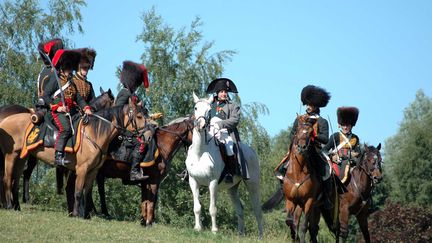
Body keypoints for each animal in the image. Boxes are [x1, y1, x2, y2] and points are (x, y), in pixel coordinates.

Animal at [0, 98, 145, 217]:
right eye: (139, 116)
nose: (146, 136)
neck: (94, 133)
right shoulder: (82, 169)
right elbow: (78, 192)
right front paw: (76, 214)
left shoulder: (93, 171)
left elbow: (87, 193)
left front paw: (86, 215)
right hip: (11, 155)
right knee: (7, 178)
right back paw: (9, 205)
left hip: (21, 157)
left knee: (16, 180)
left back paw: (17, 207)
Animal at [184, 92, 262, 237]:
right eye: (196, 108)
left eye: (209, 110)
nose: (200, 125)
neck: (200, 152)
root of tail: (251, 150)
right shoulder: (193, 181)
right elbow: (197, 207)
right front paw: (198, 228)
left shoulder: (213, 183)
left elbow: (213, 208)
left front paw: (214, 230)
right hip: (232, 188)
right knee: (240, 209)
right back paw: (240, 234)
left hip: (253, 185)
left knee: (257, 210)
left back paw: (260, 236)